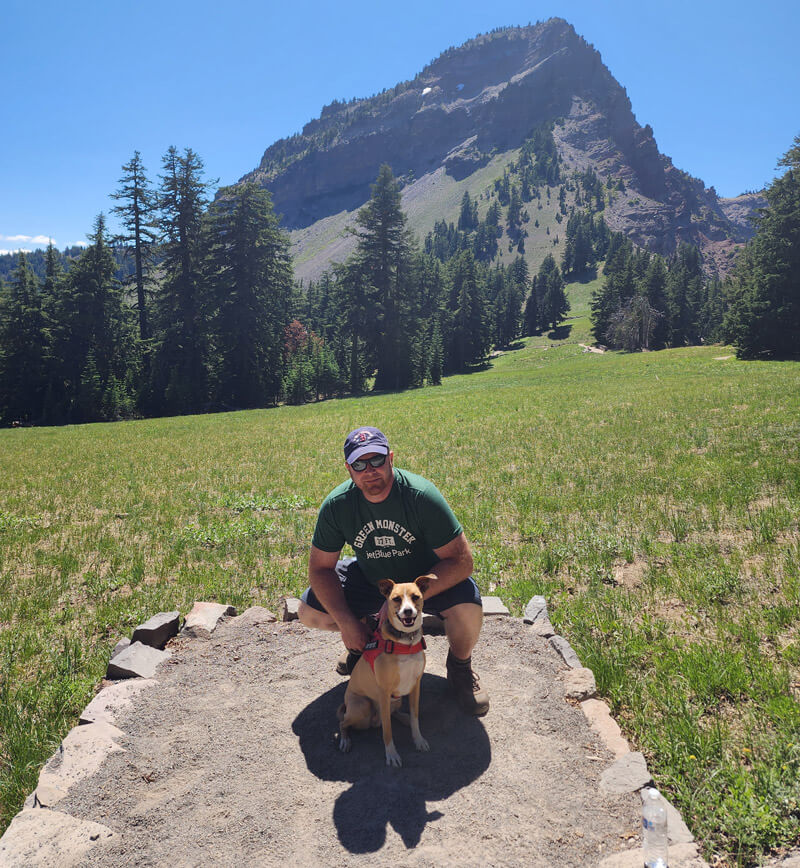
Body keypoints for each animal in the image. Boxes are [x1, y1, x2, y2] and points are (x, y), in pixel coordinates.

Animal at [340, 576, 434, 768]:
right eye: (396, 598)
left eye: (415, 596)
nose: (408, 611)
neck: (406, 641)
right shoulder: (384, 692)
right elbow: (387, 730)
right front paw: (392, 755)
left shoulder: (415, 686)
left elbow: (415, 718)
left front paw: (418, 740)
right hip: (362, 706)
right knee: (342, 722)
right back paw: (344, 740)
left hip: (396, 700)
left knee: (394, 713)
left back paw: (404, 718)